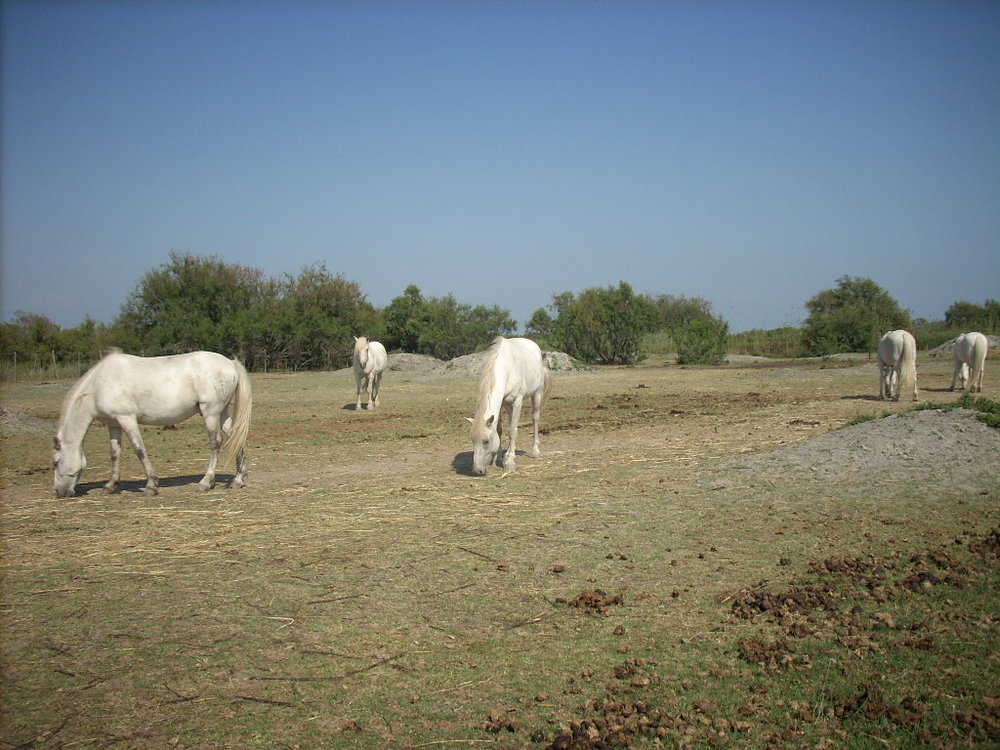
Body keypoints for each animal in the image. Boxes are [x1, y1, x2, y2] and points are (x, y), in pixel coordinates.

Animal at [53, 352, 254, 500]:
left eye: (55, 462)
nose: (60, 493)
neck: (99, 384)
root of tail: (230, 363)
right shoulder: (114, 424)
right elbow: (114, 454)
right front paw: (110, 485)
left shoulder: (127, 419)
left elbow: (139, 450)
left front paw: (151, 485)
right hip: (221, 412)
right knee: (235, 436)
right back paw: (237, 480)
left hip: (210, 412)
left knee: (216, 443)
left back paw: (206, 482)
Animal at [470, 336, 556, 476]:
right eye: (473, 441)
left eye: (486, 441)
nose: (477, 470)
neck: (507, 369)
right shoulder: (501, 404)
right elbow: (499, 430)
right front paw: (498, 458)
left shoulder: (517, 402)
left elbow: (512, 431)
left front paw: (509, 462)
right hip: (508, 405)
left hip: (537, 395)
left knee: (535, 418)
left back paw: (535, 451)